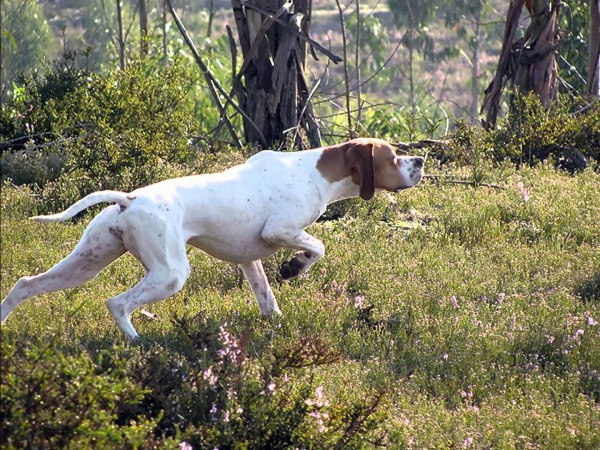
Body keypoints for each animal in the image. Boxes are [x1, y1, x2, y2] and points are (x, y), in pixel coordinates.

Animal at [0, 137, 424, 338]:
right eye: (392, 156)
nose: (419, 161)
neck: (316, 171)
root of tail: (130, 199)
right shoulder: (280, 229)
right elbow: (318, 246)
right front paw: (295, 267)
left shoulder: (248, 258)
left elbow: (267, 300)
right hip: (169, 275)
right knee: (117, 303)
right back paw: (137, 343)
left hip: (85, 264)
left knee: (25, 284)